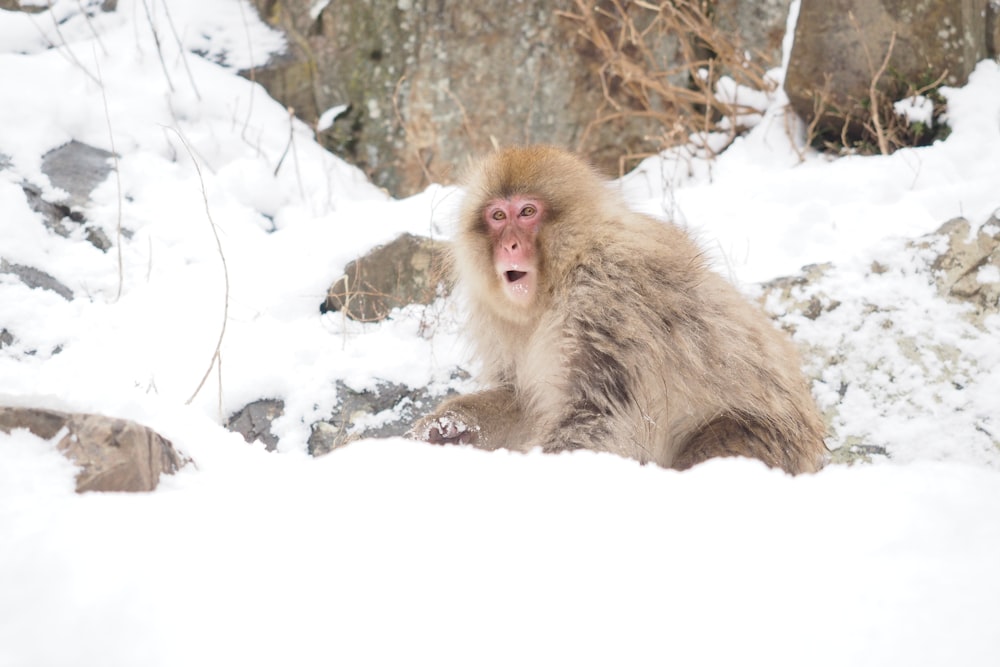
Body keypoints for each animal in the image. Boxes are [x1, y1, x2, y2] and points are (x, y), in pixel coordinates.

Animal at [408, 145, 828, 474]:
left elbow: (598, 413)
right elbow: (522, 401)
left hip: (766, 438)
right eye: (497, 216)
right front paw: (450, 425)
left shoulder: (605, 297)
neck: (557, 282)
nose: (509, 245)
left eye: (527, 212)